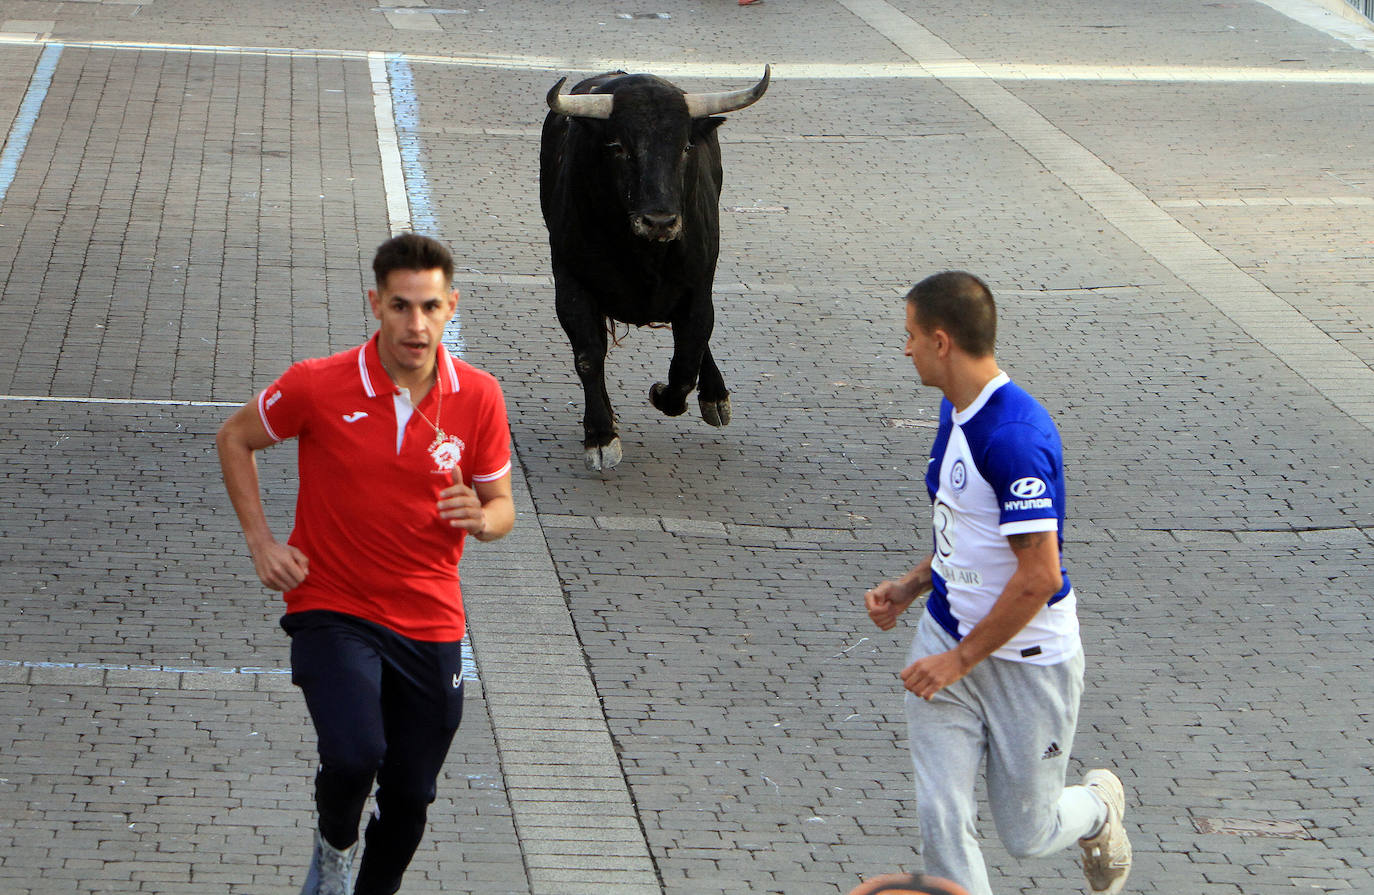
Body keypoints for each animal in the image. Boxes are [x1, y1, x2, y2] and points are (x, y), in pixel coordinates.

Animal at [538, 67, 774, 472]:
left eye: (685, 147)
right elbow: (589, 356)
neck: (644, 254)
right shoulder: (571, 284)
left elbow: (686, 362)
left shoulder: (699, 290)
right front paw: (601, 436)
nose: (659, 221)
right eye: (618, 147)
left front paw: (664, 393)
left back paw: (715, 397)